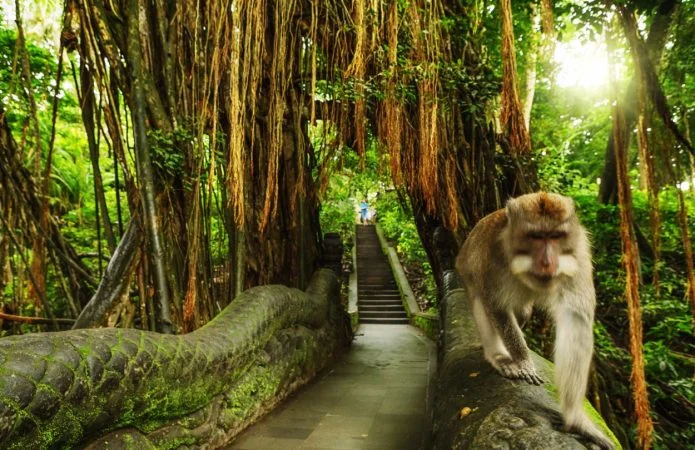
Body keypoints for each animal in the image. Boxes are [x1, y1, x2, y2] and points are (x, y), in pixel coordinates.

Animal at [456, 192, 615, 450]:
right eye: (536, 236)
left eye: (556, 236)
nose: (548, 262)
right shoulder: (492, 256)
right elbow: (496, 305)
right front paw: (522, 360)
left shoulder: (579, 254)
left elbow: (576, 319)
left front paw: (576, 419)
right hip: (466, 272)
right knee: (482, 301)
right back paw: (498, 355)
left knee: (521, 314)